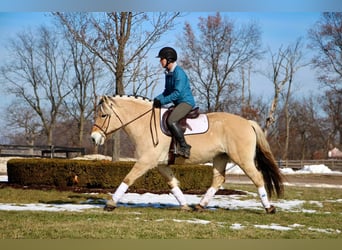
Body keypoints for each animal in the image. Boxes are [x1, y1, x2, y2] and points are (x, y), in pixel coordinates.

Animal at [90, 94, 284, 214]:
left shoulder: (146, 161)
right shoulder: (161, 165)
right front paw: (184, 206)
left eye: (103, 115)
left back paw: (269, 208)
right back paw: (199, 206)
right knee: (218, 180)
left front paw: (110, 203)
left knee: (257, 178)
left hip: (242, 159)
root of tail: (247, 123)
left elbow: (128, 179)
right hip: (220, 158)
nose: (94, 138)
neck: (144, 124)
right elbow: (173, 184)